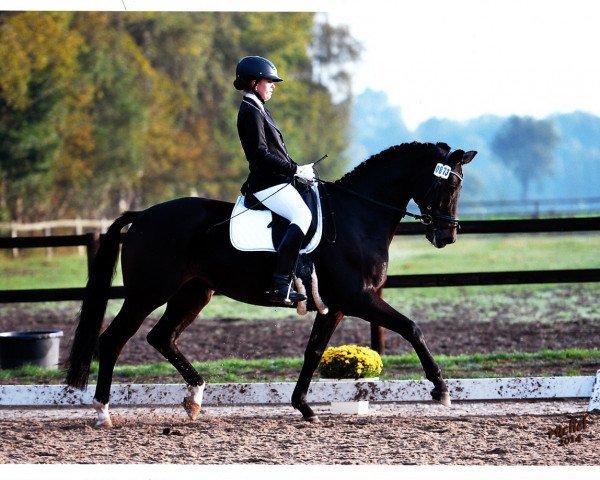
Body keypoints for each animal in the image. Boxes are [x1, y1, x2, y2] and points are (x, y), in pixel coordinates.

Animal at [65, 141, 478, 426]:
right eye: (446, 186)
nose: (447, 237)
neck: (357, 215)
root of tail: (143, 215)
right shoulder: (358, 298)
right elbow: (411, 327)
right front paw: (441, 389)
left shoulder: (337, 305)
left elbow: (314, 351)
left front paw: (304, 407)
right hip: (148, 292)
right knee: (114, 339)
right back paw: (103, 412)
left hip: (194, 293)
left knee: (162, 336)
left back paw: (195, 398)